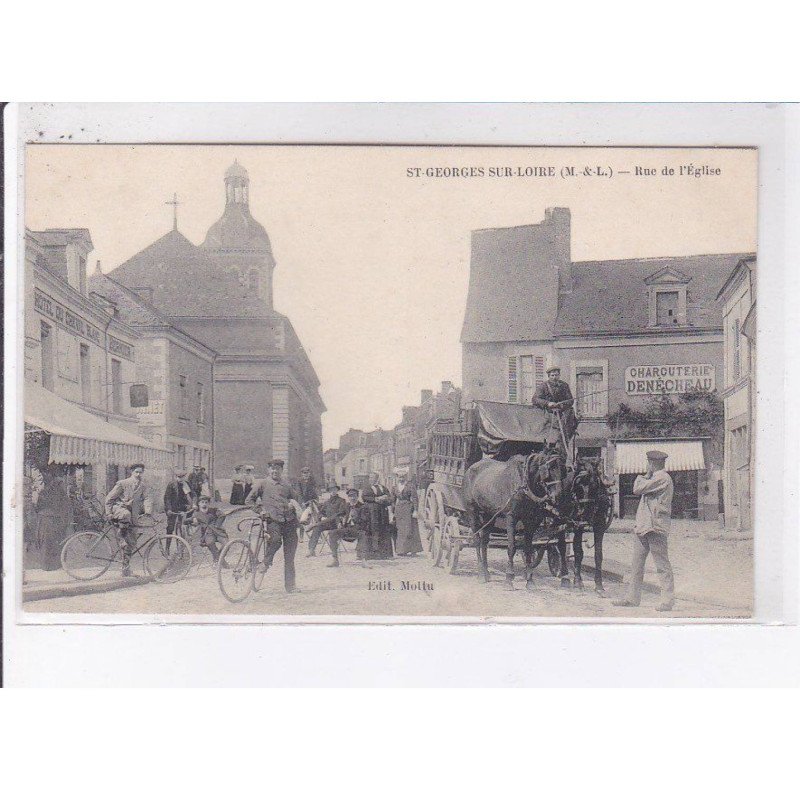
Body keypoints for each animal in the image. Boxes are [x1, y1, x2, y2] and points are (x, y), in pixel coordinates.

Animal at [462, 450, 568, 588]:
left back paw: (486, 572)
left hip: (489, 514)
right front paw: (509, 578)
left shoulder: (530, 520)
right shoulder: (511, 517)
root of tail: (470, 468)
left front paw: (530, 580)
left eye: (564, 470)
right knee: (477, 540)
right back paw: (481, 573)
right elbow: (512, 547)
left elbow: (528, 549)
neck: (523, 483)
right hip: (472, 512)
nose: (559, 496)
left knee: (484, 542)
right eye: (550, 469)